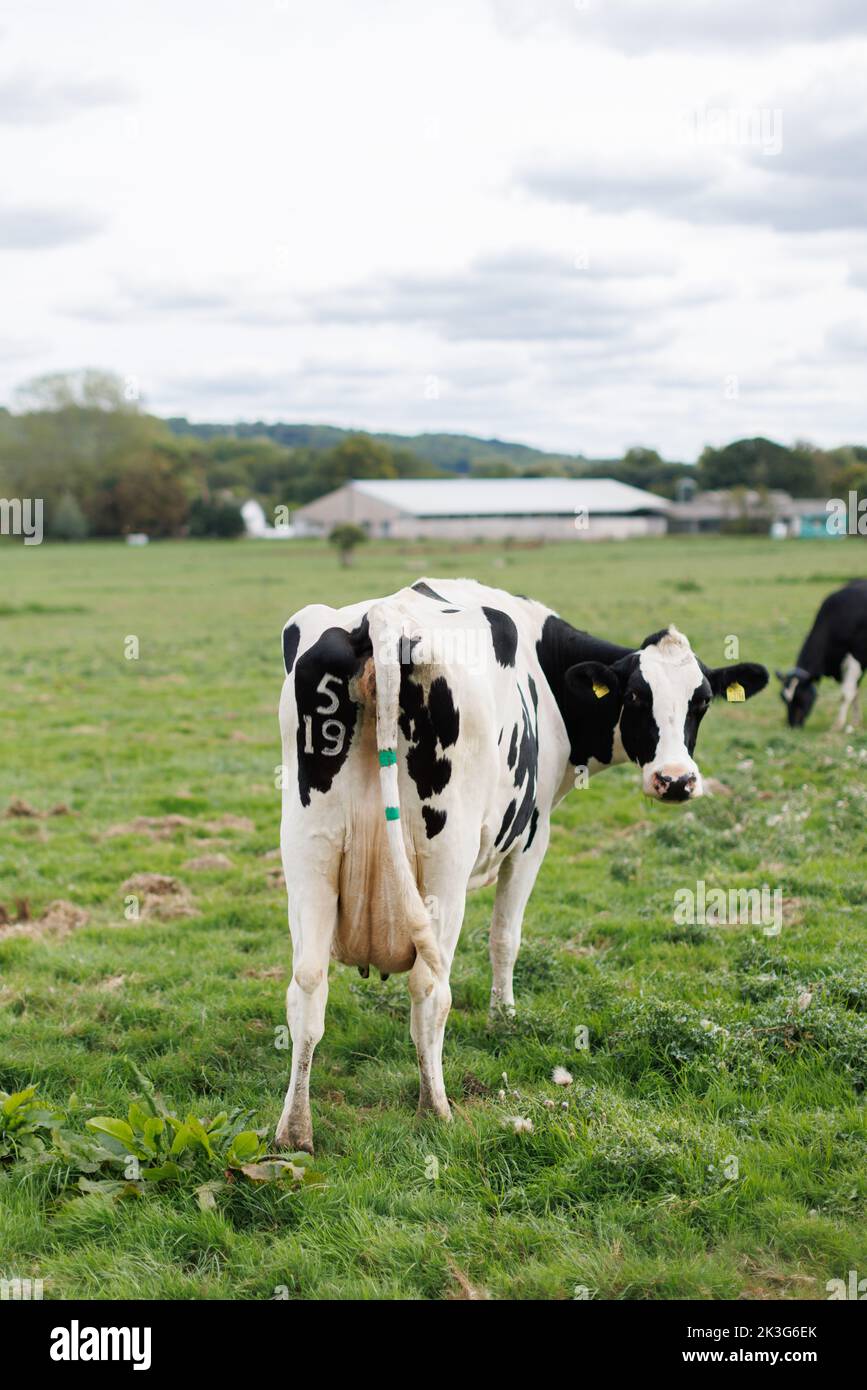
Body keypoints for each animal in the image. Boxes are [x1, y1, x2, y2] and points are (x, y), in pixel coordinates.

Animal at [275, 578, 768, 1152]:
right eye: (636, 697)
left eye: (702, 701)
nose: (676, 780)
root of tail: (381, 619)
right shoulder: (534, 836)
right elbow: (505, 938)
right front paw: (503, 1018)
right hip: (444, 860)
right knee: (429, 989)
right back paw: (435, 1109)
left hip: (308, 851)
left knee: (308, 987)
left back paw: (294, 1130)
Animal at [776, 580, 867, 730]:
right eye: (783, 698)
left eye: (801, 697)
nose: (793, 725)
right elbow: (855, 692)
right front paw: (855, 722)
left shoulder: (856, 658)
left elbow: (846, 693)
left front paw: (838, 724)